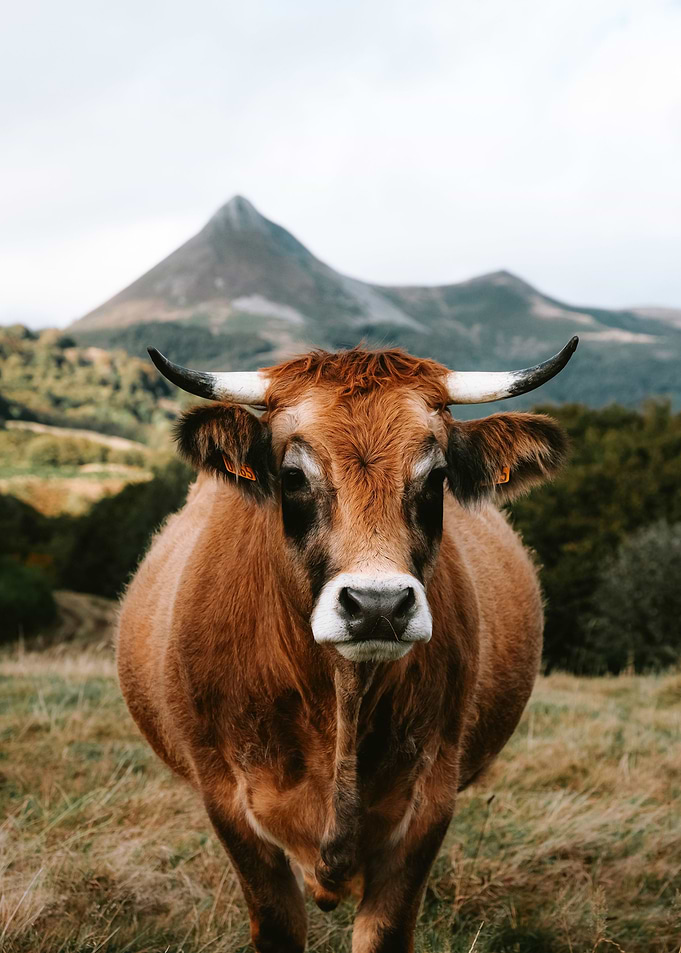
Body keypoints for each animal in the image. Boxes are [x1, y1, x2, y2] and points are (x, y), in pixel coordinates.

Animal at [117, 338, 578, 953]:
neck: (339, 700)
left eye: (437, 478)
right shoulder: (229, 806)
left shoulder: (429, 803)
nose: (378, 605)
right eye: (292, 476)